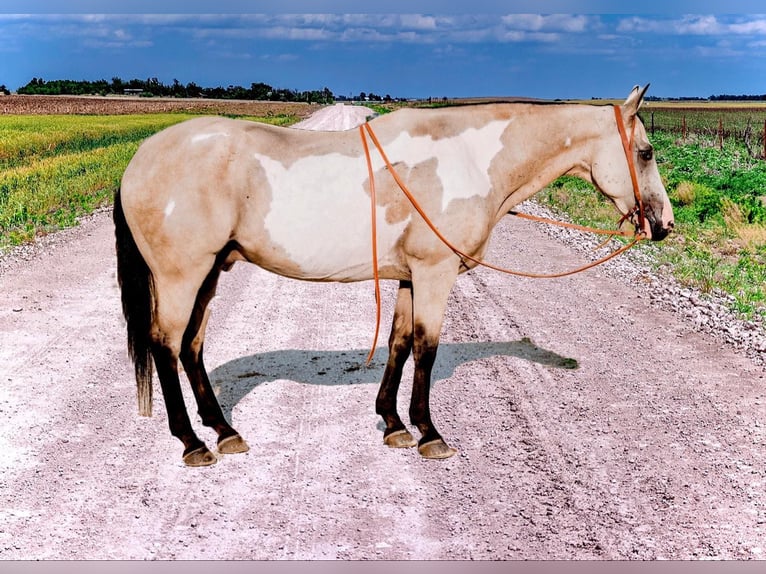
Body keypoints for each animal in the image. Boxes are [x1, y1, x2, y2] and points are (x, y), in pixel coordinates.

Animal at [112, 84, 672, 468]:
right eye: (645, 152)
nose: (663, 224)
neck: (467, 160)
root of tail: (139, 160)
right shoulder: (435, 273)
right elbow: (426, 348)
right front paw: (429, 433)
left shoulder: (409, 276)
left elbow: (400, 343)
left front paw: (393, 423)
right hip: (182, 275)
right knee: (165, 344)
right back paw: (192, 442)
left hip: (210, 272)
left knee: (191, 345)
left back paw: (223, 430)